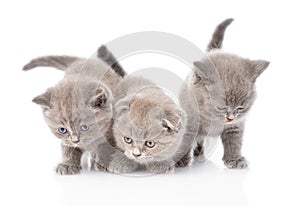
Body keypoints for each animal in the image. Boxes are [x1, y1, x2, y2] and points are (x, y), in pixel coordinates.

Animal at [23, 45, 124, 175]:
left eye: (84, 127)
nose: (76, 140)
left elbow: (107, 146)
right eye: (62, 130)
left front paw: (105, 163)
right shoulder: (66, 140)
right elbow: (68, 147)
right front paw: (68, 164)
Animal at [180, 18, 270, 168]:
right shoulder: (190, 119)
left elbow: (234, 141)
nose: (230, 118)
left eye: (240, 107)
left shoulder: (236, 125)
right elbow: (185, 139)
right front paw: (179, 160)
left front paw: (234, 159)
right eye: (221, 107)